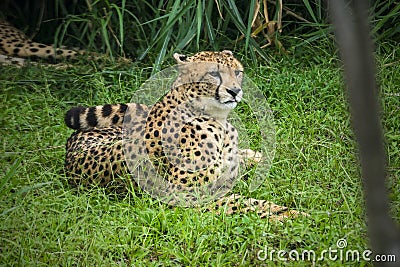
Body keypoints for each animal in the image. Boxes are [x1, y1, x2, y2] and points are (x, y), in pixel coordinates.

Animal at [65, 50, 306, 222]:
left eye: (237, 72)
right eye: (214, 73)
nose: (235, 91)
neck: (219, 122)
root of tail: (71, 142)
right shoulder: (185, 196)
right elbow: (244, 204)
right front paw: (291, 215)